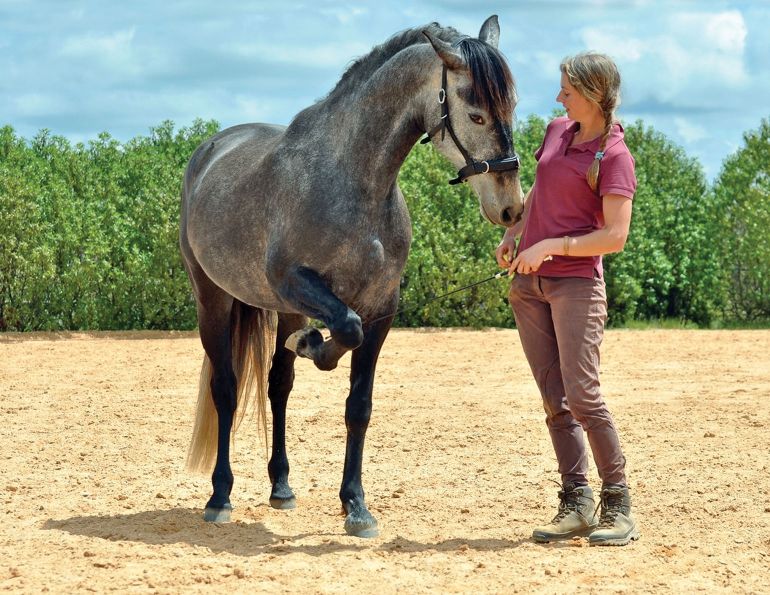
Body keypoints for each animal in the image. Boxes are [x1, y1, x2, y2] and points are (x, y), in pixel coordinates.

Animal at [179, 15, 524, 538]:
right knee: (226, 389)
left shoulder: (381, 307)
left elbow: (358, 404)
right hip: (214, 300)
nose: (510, 208)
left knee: (278, 386)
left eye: (513, 105)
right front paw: (316, 346)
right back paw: (220, 496)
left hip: (282, 311)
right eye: (476, 113)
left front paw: (355, 506)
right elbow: (345, 328)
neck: (354, 182)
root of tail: (209, 153)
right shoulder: (294, 282)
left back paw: (281, 486)